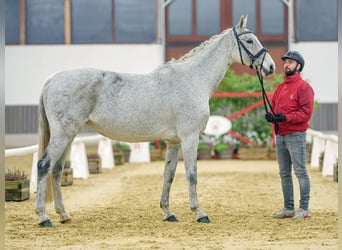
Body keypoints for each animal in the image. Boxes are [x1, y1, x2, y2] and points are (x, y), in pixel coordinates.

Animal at [35, 15, 276, 227]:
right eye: (249, 40)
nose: (271, 67)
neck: (193, 79)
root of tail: (53, 79)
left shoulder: (174, 141)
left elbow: (169, 175)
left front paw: (168, 213)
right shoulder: (189, 138)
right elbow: (192, 174)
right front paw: (199, 213)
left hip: (70, 135)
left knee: (57, 170)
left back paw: (64, 214)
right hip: (63, 134)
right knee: (44, 165)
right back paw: (43, 217)